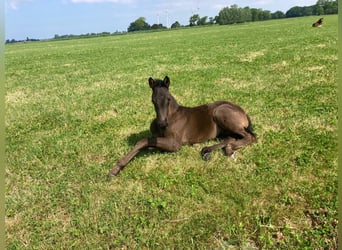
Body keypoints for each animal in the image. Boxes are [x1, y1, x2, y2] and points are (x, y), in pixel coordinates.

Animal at [109, 77, 256, 177]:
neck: (171, 117)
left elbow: (143, 141)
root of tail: (242, 111)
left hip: (220, 113)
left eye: (168, 99)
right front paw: (117, 168)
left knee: (250, 137)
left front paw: (116, 168)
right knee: (231, 138)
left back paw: (229, 149)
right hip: (223, 131)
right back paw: (208, 151)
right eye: (153, 100)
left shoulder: (175, 143)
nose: (162, 123)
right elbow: (147, 144)